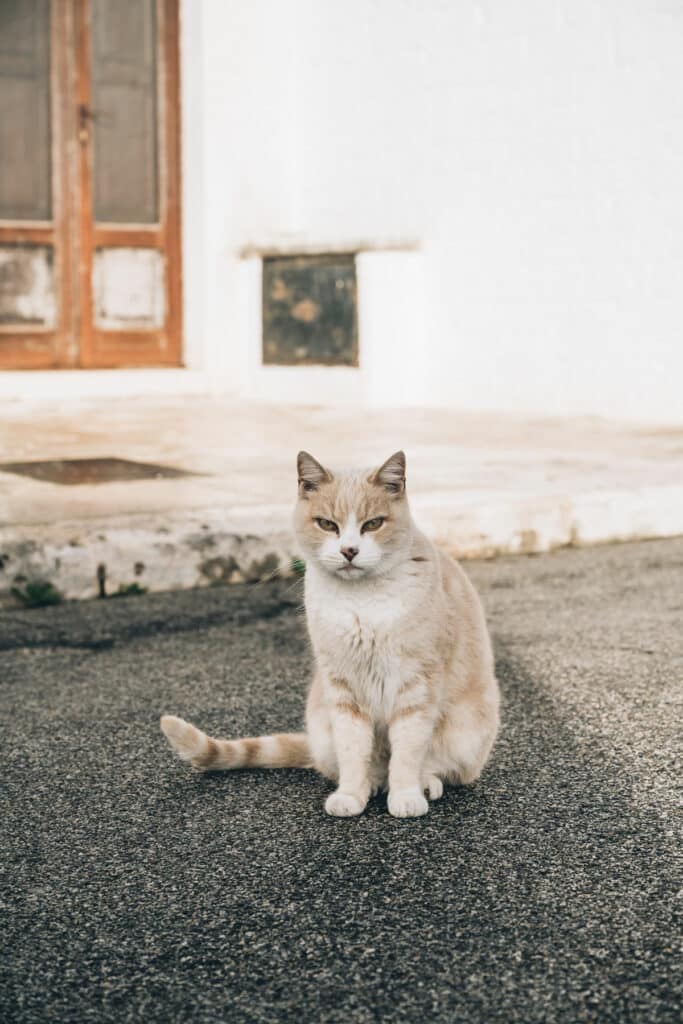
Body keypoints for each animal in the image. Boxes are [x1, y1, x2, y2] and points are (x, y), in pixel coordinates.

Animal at [161, 452, 501, 819]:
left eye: (372, 524)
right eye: (327, 524)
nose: (349, 550)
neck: (361, 602)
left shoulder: (417, 686)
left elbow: (408, 752)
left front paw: (406, 795)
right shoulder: (342, 689)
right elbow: (353, 751)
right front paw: (352, 794)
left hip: (466, 733)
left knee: (437, 766)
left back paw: (421, 783)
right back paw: (373, 783)